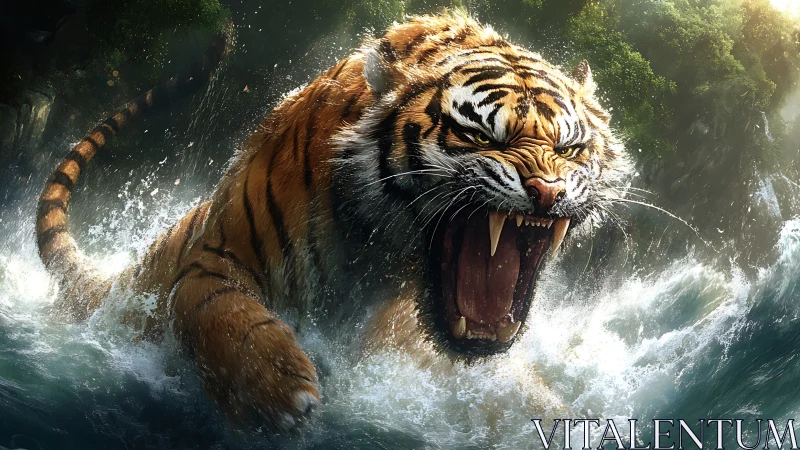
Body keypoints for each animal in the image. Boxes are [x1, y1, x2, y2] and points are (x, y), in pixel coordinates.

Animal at [35, 12, 631, 430]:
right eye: (482, 135)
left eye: (570, 148)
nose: (548, 192)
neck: (379, 258)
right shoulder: (214, 257)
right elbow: (219, 312)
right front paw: (279, 392)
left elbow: (519, 391)